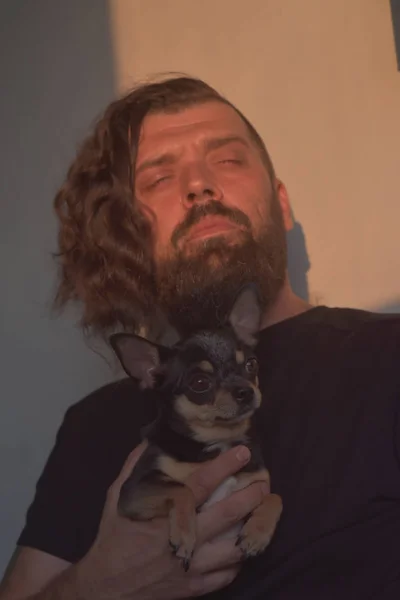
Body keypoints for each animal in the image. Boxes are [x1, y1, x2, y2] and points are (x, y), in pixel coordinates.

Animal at [111, 284, 282, 568]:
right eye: (200, 383)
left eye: (251, 364)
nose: (246, 391)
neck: (219, 442)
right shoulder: (134, 490)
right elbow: (182, 489)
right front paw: (184, 535)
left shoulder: (256, 485)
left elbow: (275, 497)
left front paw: (257, 533)